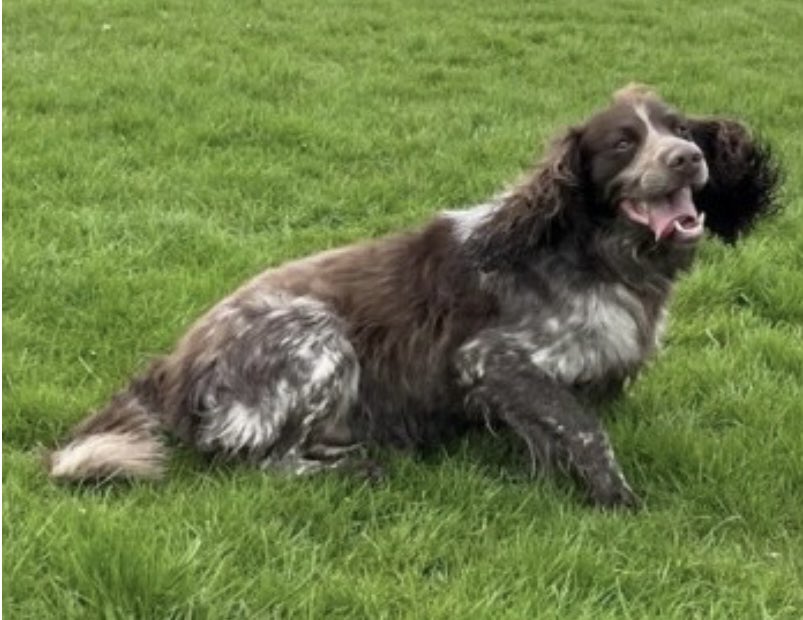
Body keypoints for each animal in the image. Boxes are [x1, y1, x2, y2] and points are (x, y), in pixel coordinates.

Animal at [45, 83, 780, 508]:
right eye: (624, 142)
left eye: (679, 128)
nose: (687, 156)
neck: (595, 255)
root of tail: (170, 367)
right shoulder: (490, 360)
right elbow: (582, 428)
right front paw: (615, 498)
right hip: (319, 337)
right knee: (264, 464)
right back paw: (356, 467)